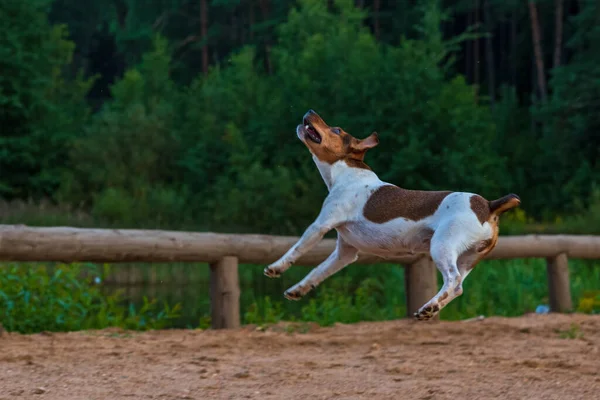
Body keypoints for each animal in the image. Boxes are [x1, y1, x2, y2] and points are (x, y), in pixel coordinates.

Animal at [264, 108, 520, 318]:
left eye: (336, 130)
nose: (310, 110)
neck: (346, 172)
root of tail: (488, 205)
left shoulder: (321, 225)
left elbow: (296, 250)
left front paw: (275, 268)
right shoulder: (345, 253)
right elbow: (318, 271)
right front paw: (298, 290)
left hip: (442, 246)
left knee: (452, 278)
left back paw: (429, 307)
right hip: (468, 258)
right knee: (457, 287)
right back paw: (431, 307)